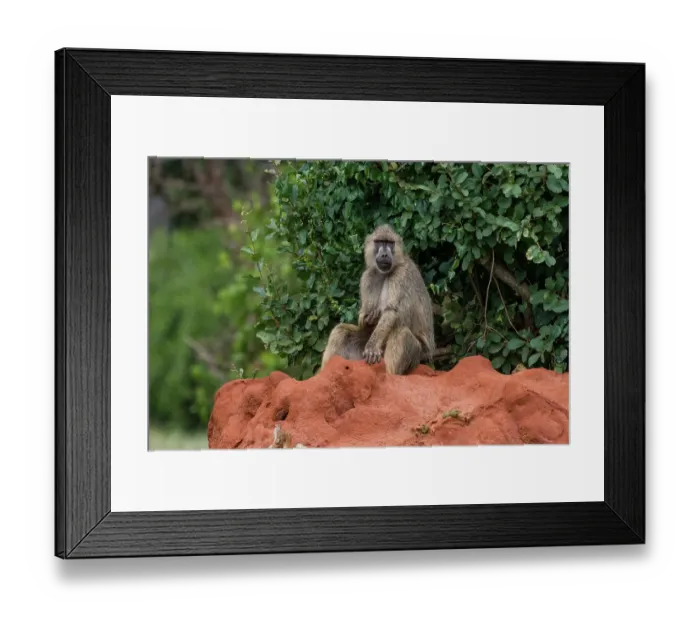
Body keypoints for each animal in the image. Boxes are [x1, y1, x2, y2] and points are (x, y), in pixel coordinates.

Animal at [320, 224, 435, 375]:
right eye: (380, 242)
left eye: (389, 243)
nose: (384, 254)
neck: (385, 273)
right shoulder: (368, 277)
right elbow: (365, 316)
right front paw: (368, 318)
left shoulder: (401, 275)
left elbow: (392, 312)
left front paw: (371, 347)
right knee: (340, 331)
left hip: (420, 357)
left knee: (401, 333)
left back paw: (388, 375)